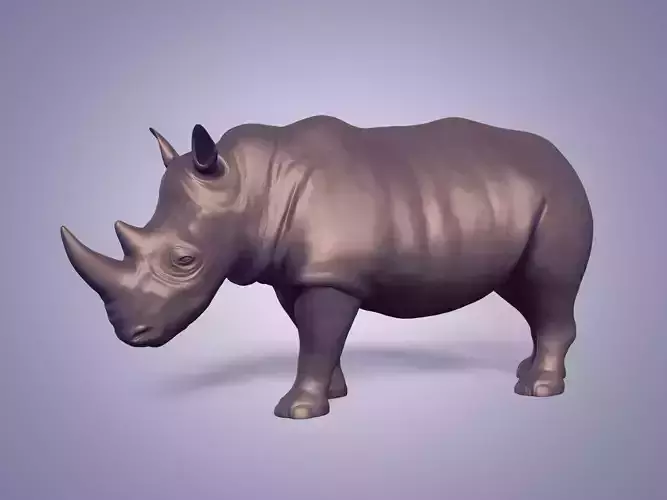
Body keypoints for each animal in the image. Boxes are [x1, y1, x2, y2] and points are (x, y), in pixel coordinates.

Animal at [60, 115, 593, 419]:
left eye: (184, 261)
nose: (129, 333)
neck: (249, 185)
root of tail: (566, 160)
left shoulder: (331, 276)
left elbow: (318, 336)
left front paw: (297, 411)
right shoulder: (293, 272)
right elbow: (313, 334)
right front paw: (333, 394)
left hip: (559, 197)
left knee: (548, 287)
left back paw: (538, 389)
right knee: (525, 292)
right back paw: (529, 371)